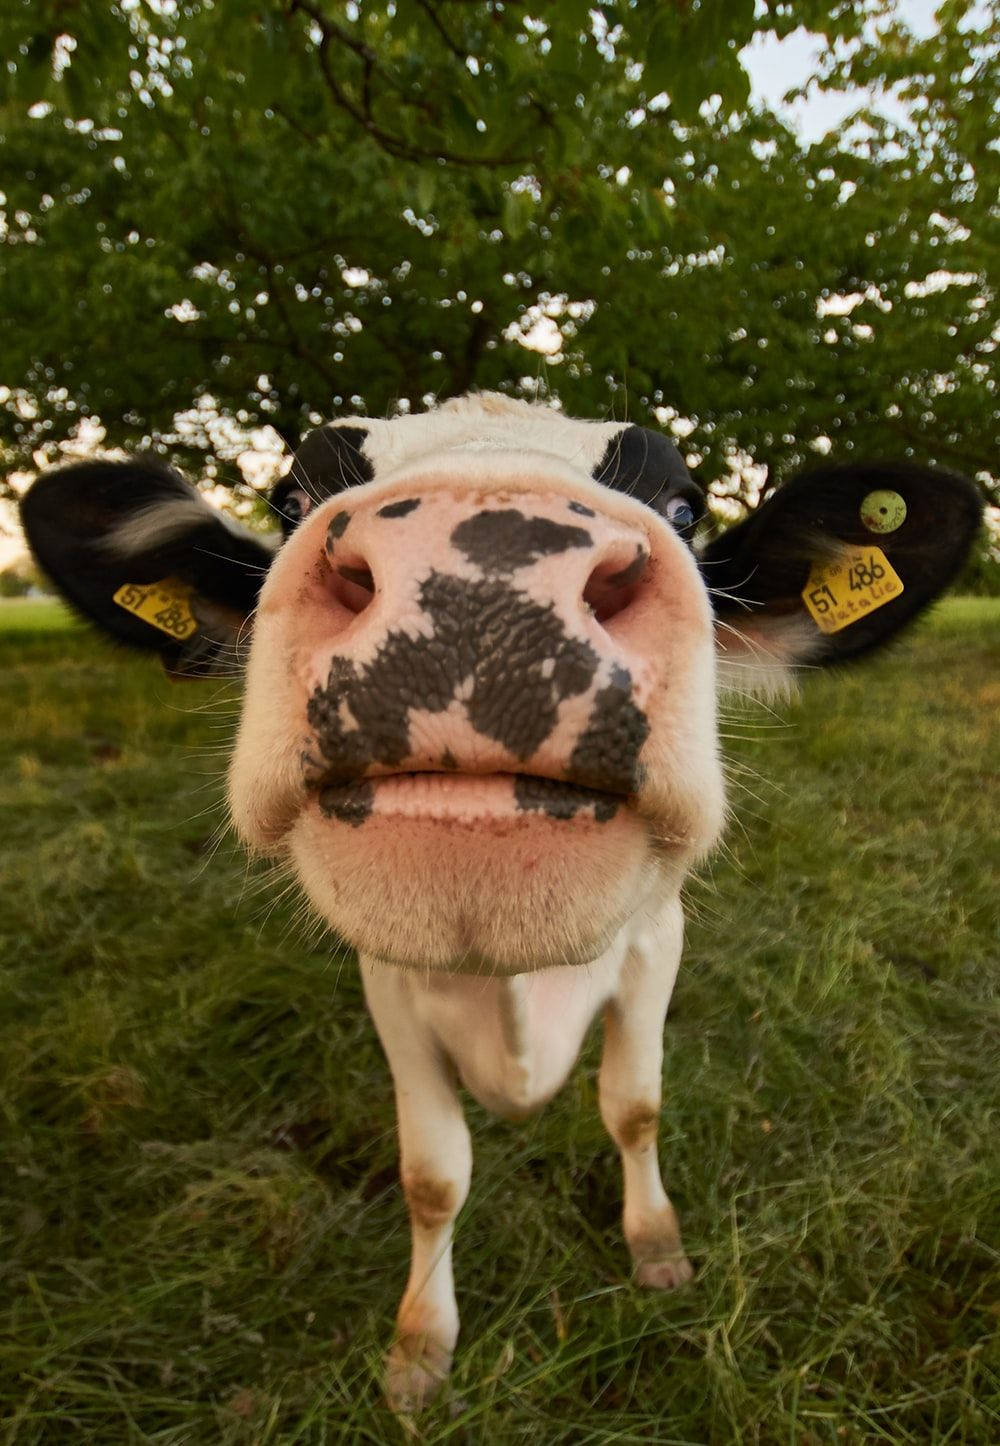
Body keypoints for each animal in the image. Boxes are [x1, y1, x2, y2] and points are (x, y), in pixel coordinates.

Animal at [19, 396, 982, 1411]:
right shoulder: (390, 987)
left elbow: (635, 1107)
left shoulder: (656, 945)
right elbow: (433, 1176)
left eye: (685, 506)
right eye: (289, 499)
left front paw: (656, 1244)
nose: (481, 576)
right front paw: (419, 1345)